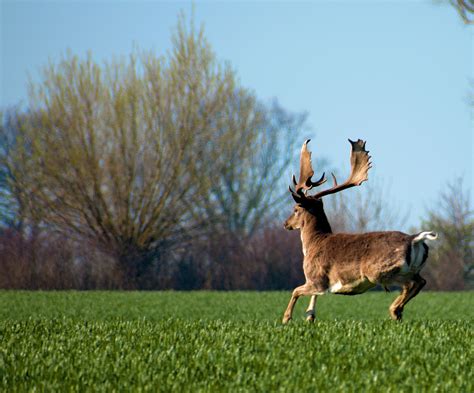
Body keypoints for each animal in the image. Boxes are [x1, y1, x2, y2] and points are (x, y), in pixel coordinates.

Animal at [282, 139, 436, 324]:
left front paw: (286, 318)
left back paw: (394, 310)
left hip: (381, 271)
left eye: (296, 209)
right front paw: (310, 316)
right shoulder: (318, 284)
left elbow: (295, 290)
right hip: (411, 269)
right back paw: (397, 311)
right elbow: (312, 297)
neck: (313, 243)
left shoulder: (317, 278)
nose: (285, 223)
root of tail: (415, 239)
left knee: (412, 283)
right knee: (421, 281)